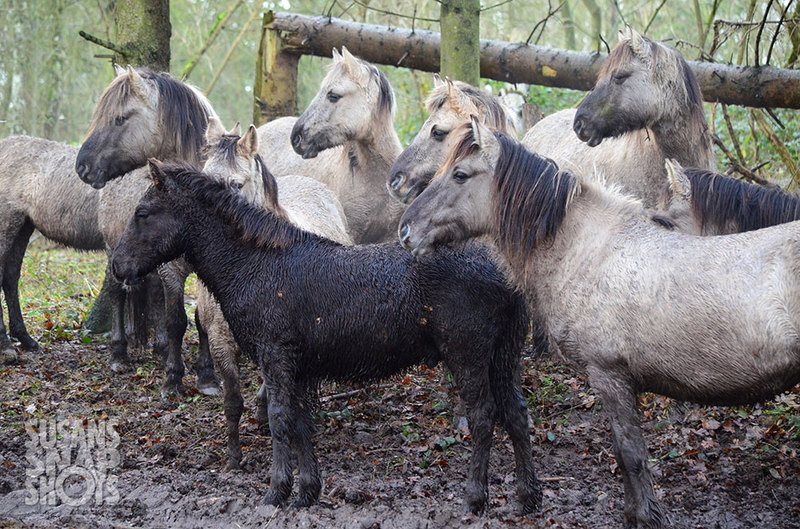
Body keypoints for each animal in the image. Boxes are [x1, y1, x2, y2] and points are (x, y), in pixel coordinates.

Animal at [76, 65, 218, 395]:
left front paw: (206, 376)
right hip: (113, 252)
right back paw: (119, 354)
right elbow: (177, 320)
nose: (82, 167)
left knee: (152, 293)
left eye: (119, 118)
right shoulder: (172, 270)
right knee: (117, 293)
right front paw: (173, 379)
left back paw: (160, 348)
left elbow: (200, 320)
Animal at [111, 159, 540, 515]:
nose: (116, 266)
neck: (253, 267)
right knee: (517, 413)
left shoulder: (275, 355)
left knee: (483, 417)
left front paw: (276, 491)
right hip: (503, 356)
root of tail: (505, 274)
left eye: (142, 213)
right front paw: (306, 492)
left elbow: (278, 418)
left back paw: (475, 498)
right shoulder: (299, 366)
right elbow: (301, 422)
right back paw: (526, 498)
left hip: (468, 354)